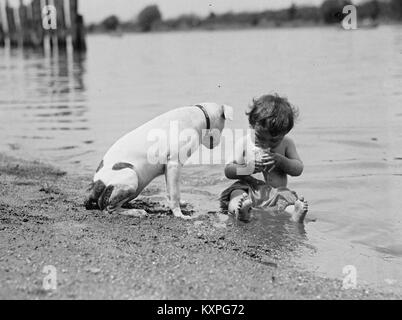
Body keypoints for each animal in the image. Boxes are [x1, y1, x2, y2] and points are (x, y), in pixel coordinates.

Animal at [85, 104, 232, 219]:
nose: (217, 144)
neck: (199, 116)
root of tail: (95, 185)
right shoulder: (174, 164)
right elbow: (175, 193)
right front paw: (179, 214)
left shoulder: (168, 168)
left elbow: (171, 190)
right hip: (130, 175)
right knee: (109, 208)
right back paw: (136, 212)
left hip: (136, 185)